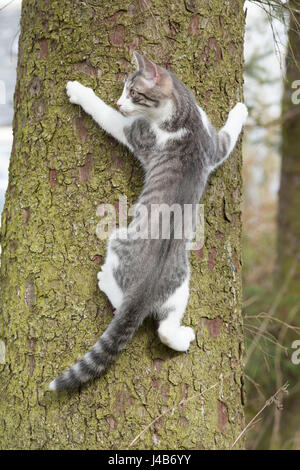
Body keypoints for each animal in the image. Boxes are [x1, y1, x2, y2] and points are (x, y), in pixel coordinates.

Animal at [48, 51, 247, 392]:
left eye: (133, 92)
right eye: (125, 89)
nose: (119, 102)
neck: (183, 118)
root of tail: (143, 292)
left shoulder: (136, 132)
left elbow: (106, 116)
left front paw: (80, 91)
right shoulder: (214, 146)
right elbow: (228, 135)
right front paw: (242, 109)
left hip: (118, 239)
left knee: (122, 303)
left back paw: (104, 279)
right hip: (181, 284)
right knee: (164, 328)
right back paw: (182, 337)